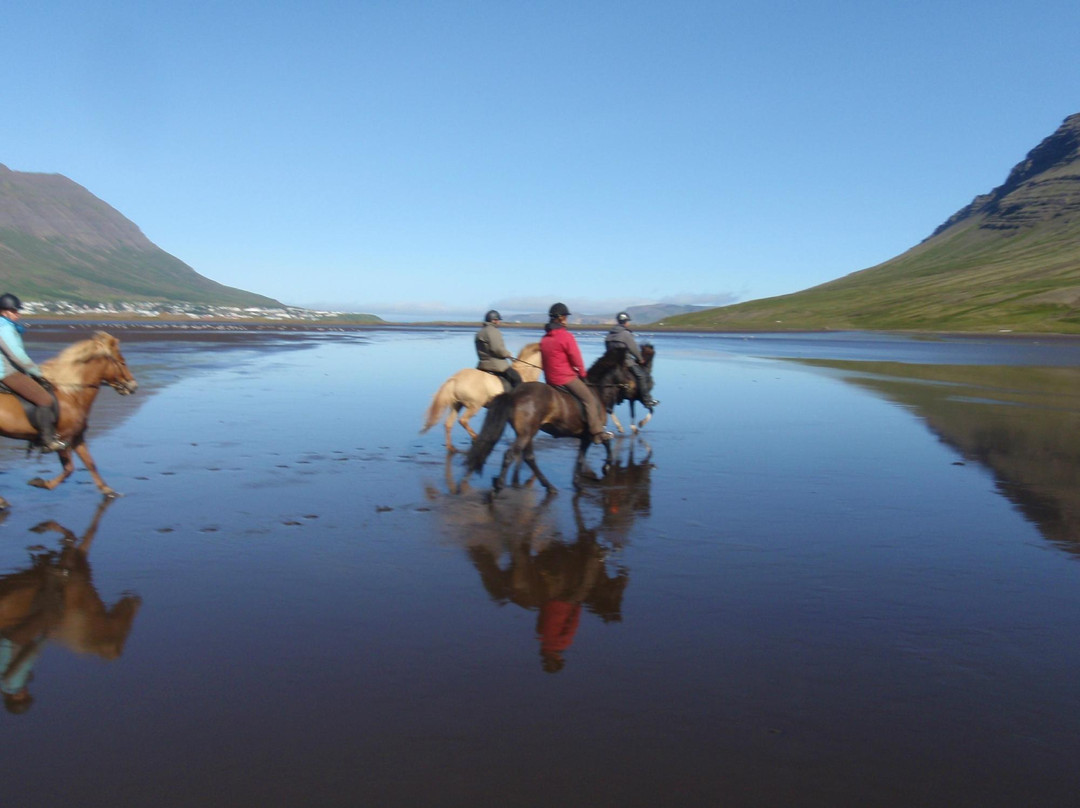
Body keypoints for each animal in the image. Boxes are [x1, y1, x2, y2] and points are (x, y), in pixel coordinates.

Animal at [0, 330, 138, 512]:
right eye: (122, 362)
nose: (133, 386)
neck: (71, 394)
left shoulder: (77, 437)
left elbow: (90, 463)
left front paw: (108, 491)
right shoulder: (63, 439)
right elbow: (69, 469)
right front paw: (42, 483)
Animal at [462, 343, 630, 492]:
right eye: (628, 368)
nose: (629, 388)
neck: (596, 391)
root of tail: (514, 393)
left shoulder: (584, 436)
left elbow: (580, 458)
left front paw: (577, 483)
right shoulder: (593, 433)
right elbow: (605, 443)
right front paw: (606, 466)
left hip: (527, 433)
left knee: (529, 457)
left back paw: (548, 486)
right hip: (525, 434)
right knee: (511, 455)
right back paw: (499, 486)